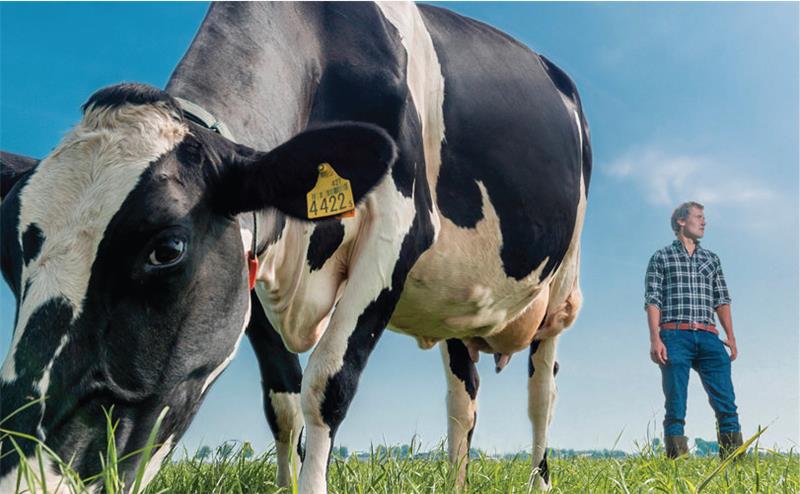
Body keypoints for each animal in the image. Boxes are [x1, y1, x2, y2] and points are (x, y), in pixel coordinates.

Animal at [0, 3, 591, 493]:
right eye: (10, 259)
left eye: (167, 248)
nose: (23, 479)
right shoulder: (254, 258)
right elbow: (282, 400)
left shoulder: (398, 231)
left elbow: (326, 386)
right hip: (456, 305)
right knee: (462, 395)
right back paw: (455, 484)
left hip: (561, 289)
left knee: (542, 394)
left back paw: (539, 480)